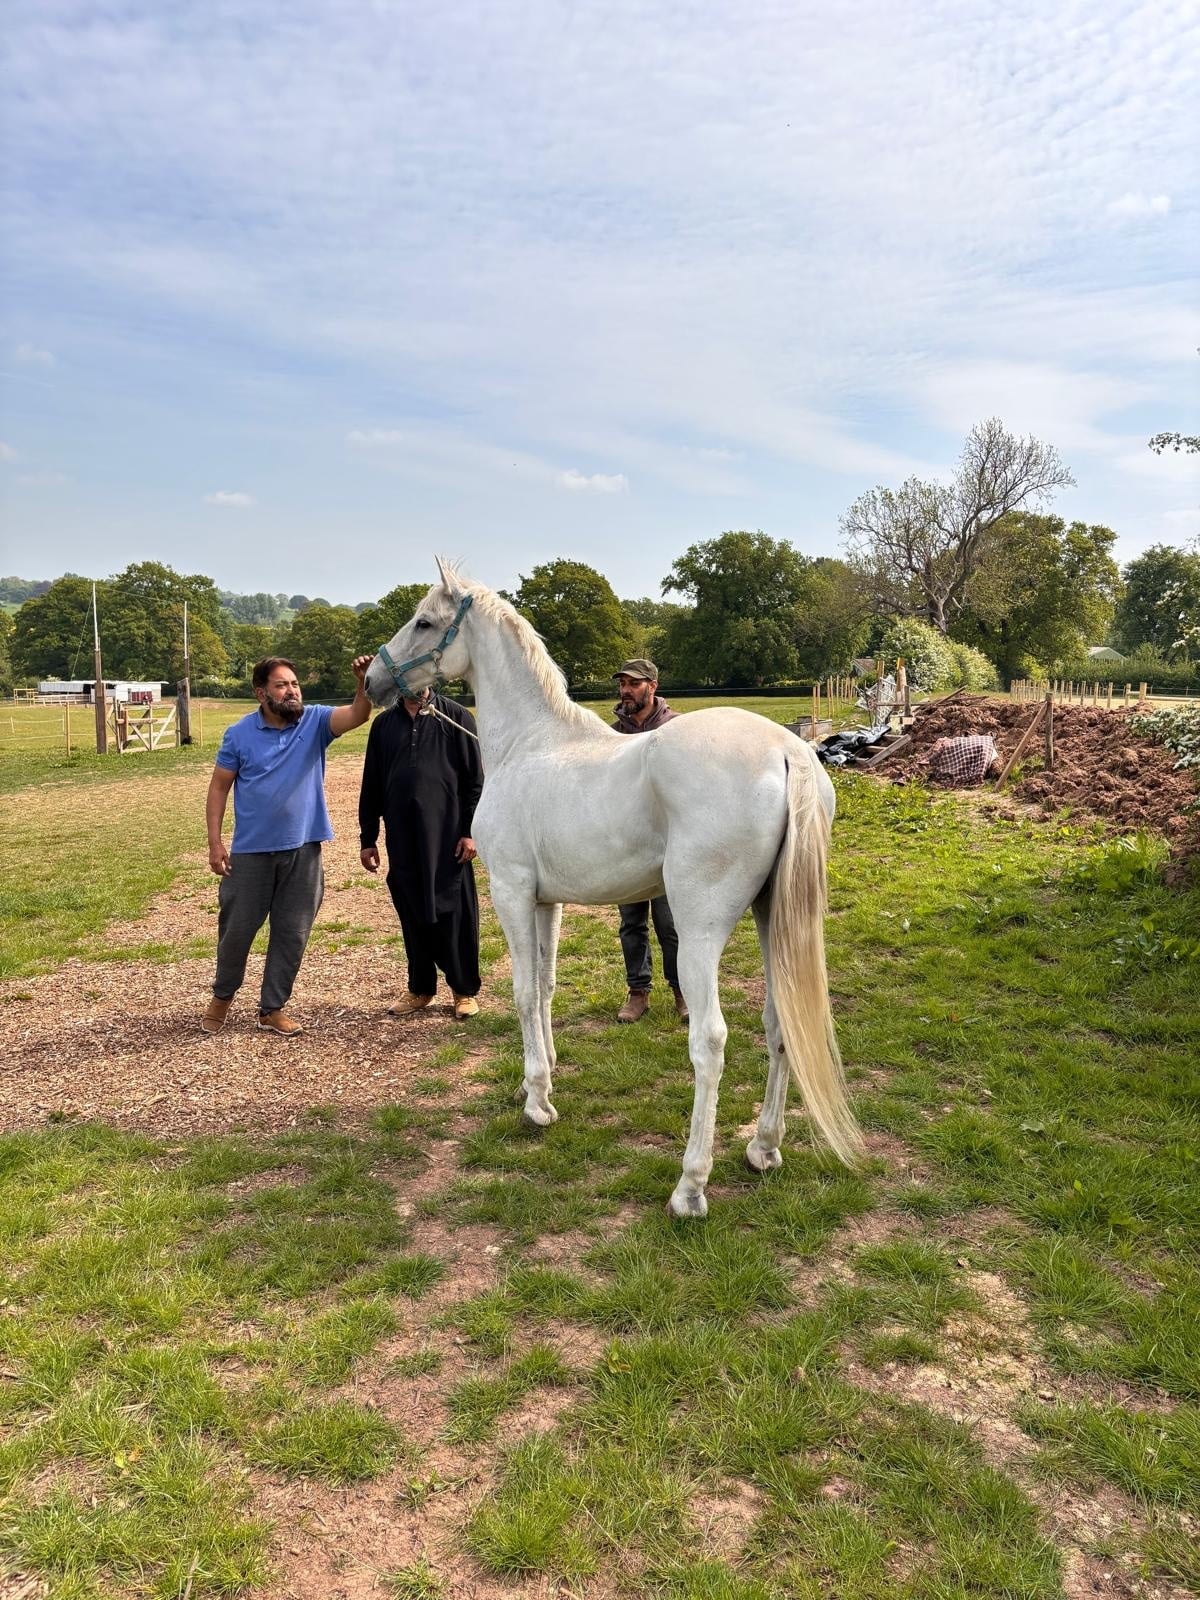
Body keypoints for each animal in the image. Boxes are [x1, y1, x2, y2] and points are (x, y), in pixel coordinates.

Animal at [365, 560, 861, 1217]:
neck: (530, 744)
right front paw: (543, 1076)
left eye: (424, 621)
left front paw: (536, 1104)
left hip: (701, 929)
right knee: (781, 1026)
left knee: (710, 1040)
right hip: (771, 917)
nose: (371, 679)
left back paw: (690, 1188)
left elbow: (522, 992)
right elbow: (546, 987)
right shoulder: (546, 901)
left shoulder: (512, 894)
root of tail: (788, 751)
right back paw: (763, 1147)